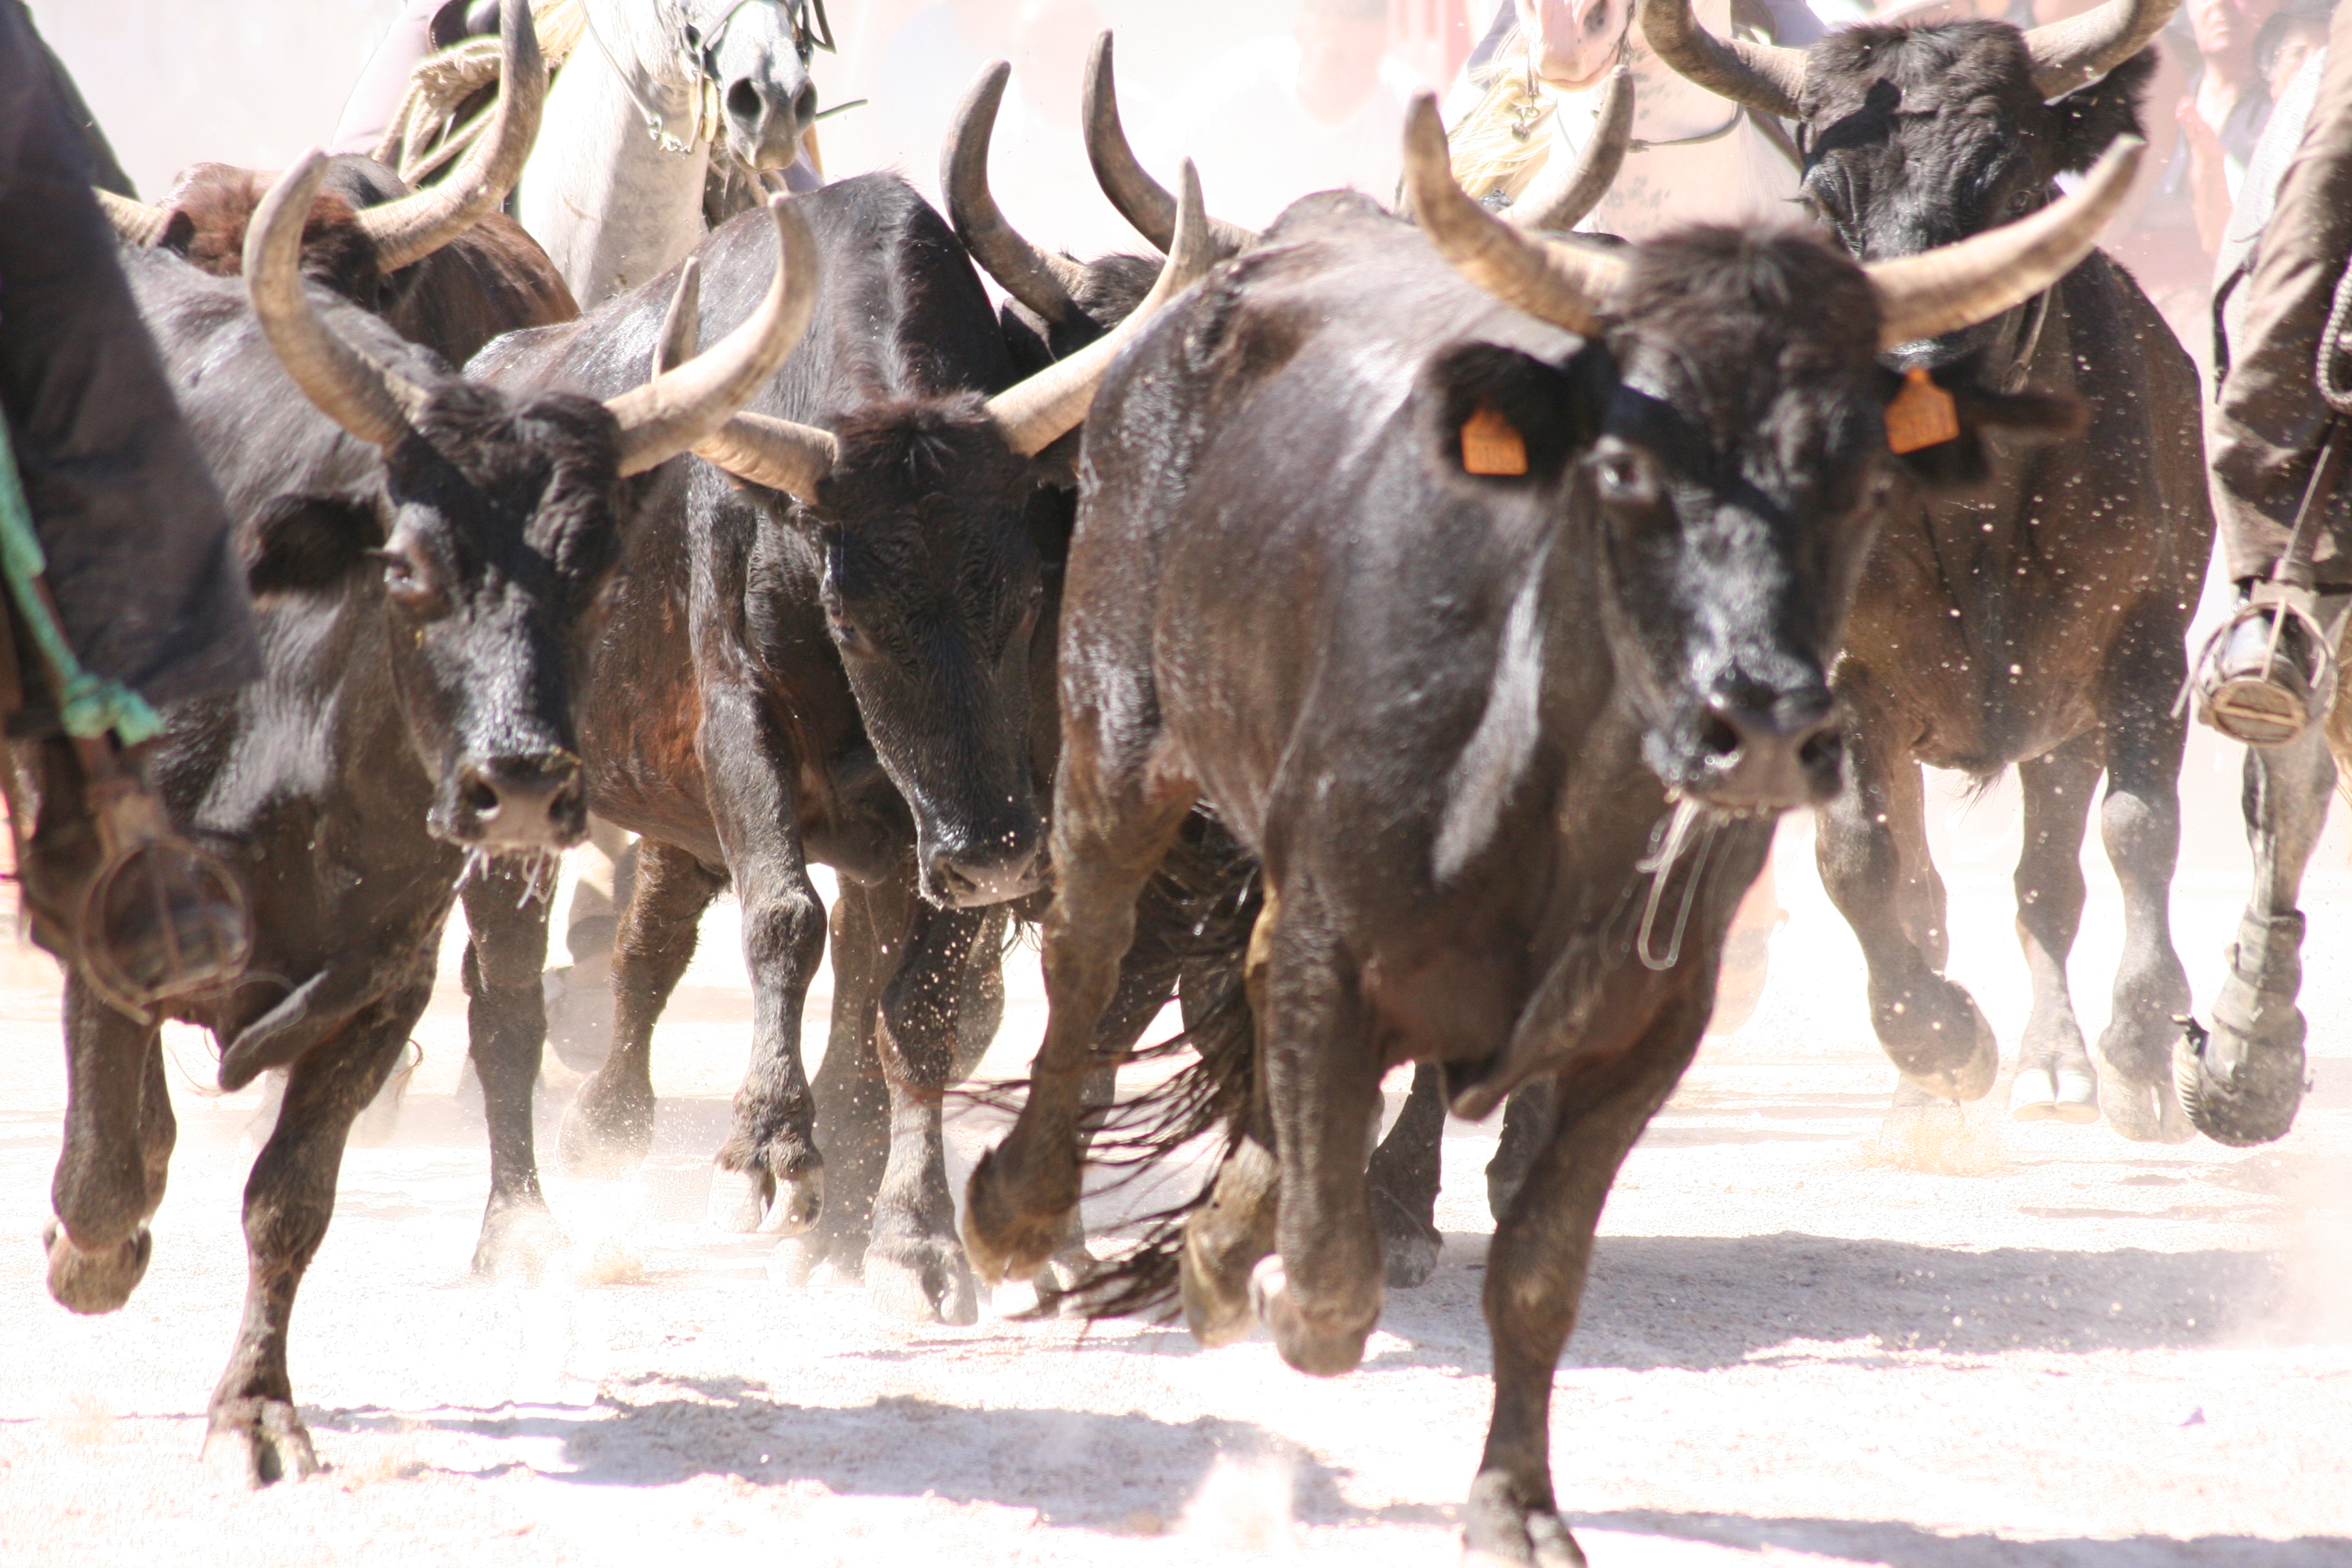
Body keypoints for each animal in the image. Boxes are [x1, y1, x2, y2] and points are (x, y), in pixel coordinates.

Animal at [950, 101, 2117, 1561]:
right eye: (1623, 468)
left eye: (1855, 479)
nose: (1761, 719)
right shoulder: (1326, 930)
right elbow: (1324, 1277)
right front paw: (1268, 1257)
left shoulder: (1641, 1030)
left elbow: (1535, 1270)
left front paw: (1513, 1503)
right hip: (1113, 744)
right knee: (1086, 952)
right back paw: (1017, 1205)